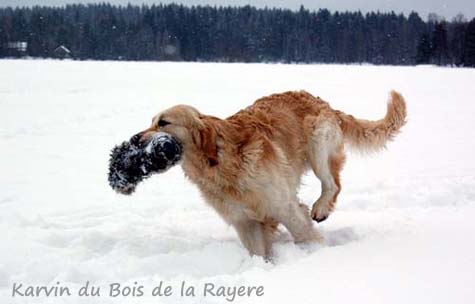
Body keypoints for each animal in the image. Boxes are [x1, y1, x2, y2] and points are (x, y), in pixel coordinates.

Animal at [132, 91, 408, 258]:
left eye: (163, 123)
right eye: (151, 121)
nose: (135, 138)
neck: (221, 163)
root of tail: (322, 102)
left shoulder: (283, 204)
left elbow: (303, 232)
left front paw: (317, 254)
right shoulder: (244, 221)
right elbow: (258, 251)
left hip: (318, 142)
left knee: (332, 183)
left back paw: (320, 208)